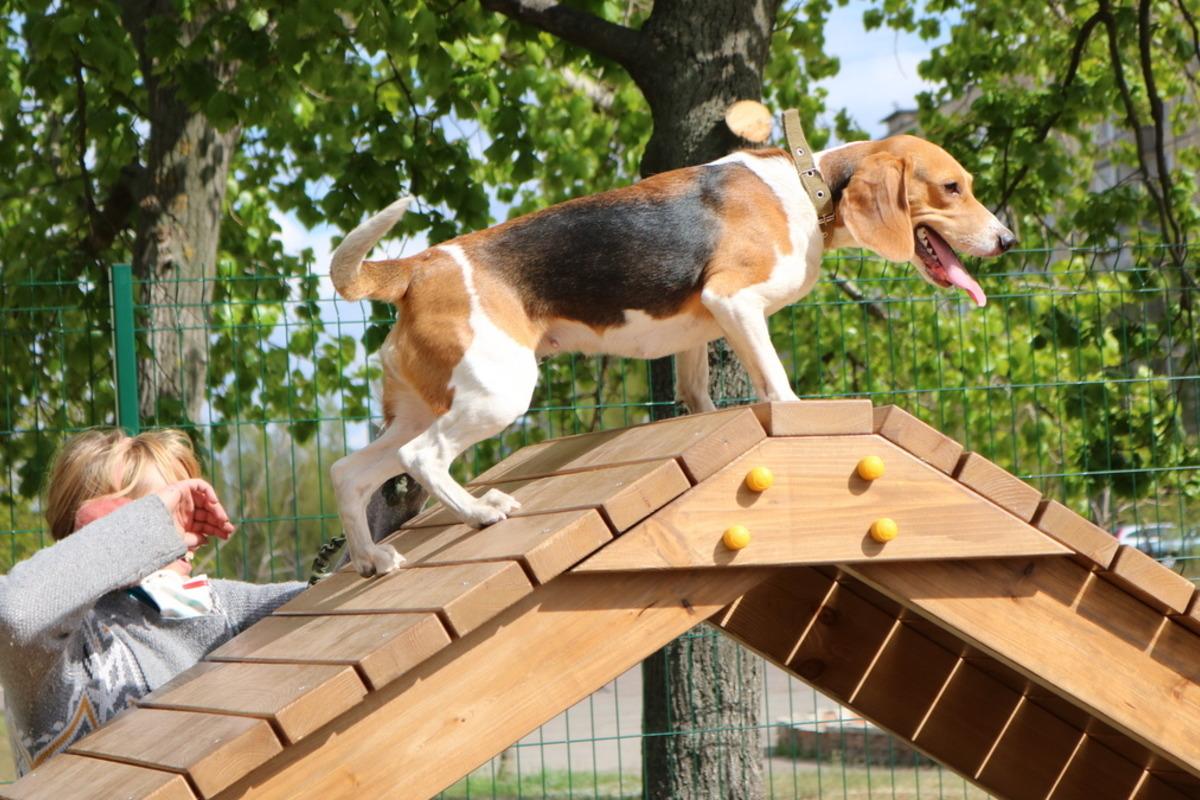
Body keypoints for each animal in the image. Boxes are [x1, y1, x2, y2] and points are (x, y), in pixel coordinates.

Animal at [328, 134, 1012, 578]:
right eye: (951, 188)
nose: (1009, 239)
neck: (806, 185)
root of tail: (418, 266)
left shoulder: (699, 331)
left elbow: (697, 393)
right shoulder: (735, 300)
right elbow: (777, 383)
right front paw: (797, 417)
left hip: (421, 406)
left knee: (350, 472)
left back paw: (371, 557)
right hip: (497, 393)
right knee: (423, 458)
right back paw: (479, 512)